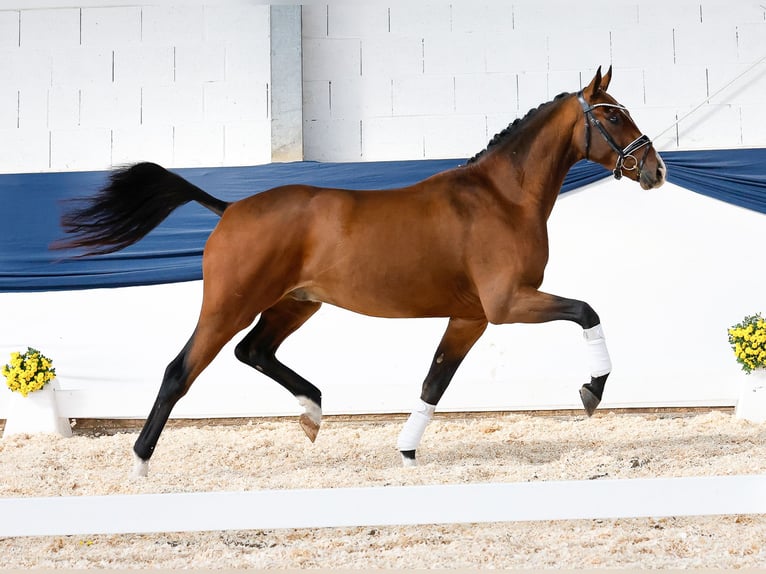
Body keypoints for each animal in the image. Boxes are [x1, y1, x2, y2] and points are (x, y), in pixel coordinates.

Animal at [54, 67, 664, 476]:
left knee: (254, 352)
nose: (654, 169)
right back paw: (141, 462)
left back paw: (312, 412)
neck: (500, 198)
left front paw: (408, 451)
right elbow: (587, 311)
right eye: (612, 114)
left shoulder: (470, 317)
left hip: (295, 303)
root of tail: (230, 209)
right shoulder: (508, 303)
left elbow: (435, 381)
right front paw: (592, 390)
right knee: (180, 369)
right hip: (231, 304)